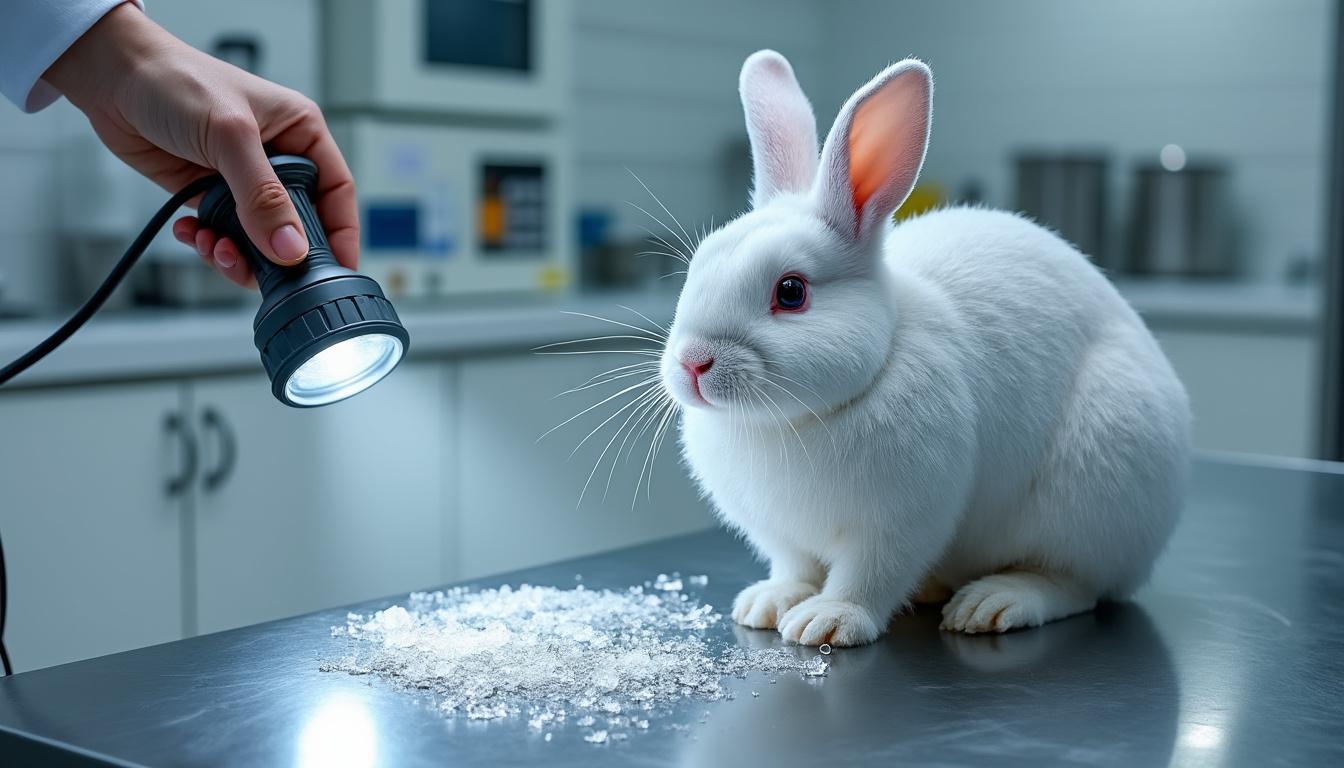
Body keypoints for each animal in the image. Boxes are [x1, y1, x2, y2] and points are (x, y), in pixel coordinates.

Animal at [657, 50, 1190, 647]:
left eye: (791, 292)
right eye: (697, 266)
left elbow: (869, 577)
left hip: (1093, 498)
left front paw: (827, 621)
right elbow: (795, 569)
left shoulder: (901, 521)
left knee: (1073, 584)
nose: (692, 363)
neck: (788, 422)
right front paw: (768, 604)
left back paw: (992, 603)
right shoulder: (784, 537)